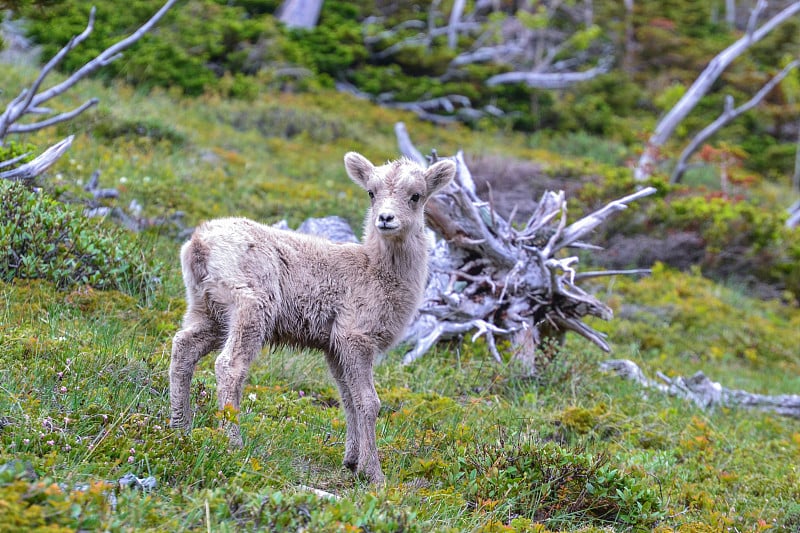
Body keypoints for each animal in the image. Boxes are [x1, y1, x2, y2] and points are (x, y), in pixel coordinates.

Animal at [167, 151, 456, 482]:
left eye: (416, 196)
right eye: (371, 193)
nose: (385, 218)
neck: (377, 271)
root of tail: (198, 246)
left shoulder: (333, 345)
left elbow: (348, 399)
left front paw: (351, 461)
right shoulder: (355, 336)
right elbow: (368, 402)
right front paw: (373, 473)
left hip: (207, 310)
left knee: (183, 347)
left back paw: (180, 429)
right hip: (251, 304)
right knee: (229, 366)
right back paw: (232, 443)